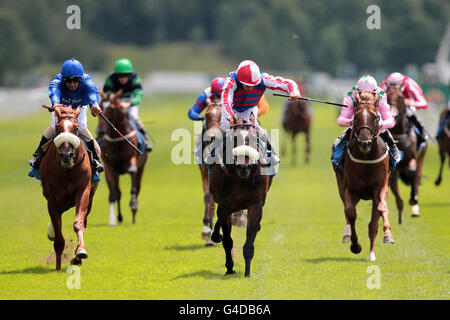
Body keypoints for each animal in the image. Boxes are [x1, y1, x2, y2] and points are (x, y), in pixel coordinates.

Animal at [39, 104, 98, 270]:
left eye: (76, 128)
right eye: (58, 128)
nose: (67, 155)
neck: (66, 170)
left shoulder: (83, 191)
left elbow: (78, 223)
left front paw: (80, 252)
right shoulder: (52, 199)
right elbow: (58, 236)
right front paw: (58, 267)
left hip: (90, 198)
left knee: (84, 220)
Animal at [98, 90, 148, 225]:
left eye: (112, 108)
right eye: (100, 105)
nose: (100, 131)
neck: (117, 139)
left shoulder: (132, 161)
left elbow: (133, 185)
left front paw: (133, 206)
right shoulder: (109, 167)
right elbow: (113, 194)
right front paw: (112, 220)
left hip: (141, 168)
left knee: (138, 187)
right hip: (117, 173)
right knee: (118, 193)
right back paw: (119, 217)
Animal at [209, 113, 272, 278]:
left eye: (255, 138)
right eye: (234, 138)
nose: (244, 167)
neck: (241, 178)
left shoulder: (256, 205)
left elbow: (249, 243)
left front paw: (247, 273)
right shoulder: (225, 205)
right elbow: (227, 241)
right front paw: (230, 267)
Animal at [334, 91, 394, 262]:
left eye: (375, 117)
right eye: (355, 117)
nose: (365, 143)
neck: (367, 159)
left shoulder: (380, 188)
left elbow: (379, 213)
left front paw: (386, 236)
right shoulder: (350, 190)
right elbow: (350, 213)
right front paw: (355, 246)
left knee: (377, 218)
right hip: (341, 186)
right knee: (347, 212)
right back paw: (347, 235)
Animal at [386, 87, 426, 222]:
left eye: (401, 97)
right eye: (387, 95)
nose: (392, 113)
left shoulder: (411, 157)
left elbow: (413, 173)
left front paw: (413, 198)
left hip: (421, 155)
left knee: (417, 174)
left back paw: (414, 208)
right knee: (392, 183)